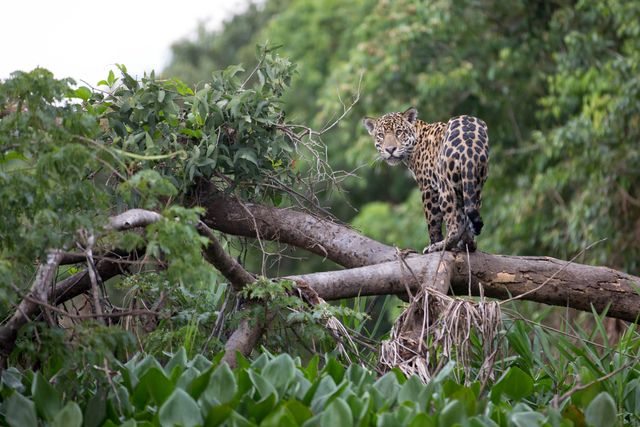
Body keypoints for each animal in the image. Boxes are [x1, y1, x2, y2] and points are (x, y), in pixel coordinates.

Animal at [362, 107, 489, 253]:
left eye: (399, 132)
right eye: (381, 135)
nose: (390, 149)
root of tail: (469, 142)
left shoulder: (428, 187)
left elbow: (432, 222)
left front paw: (433, 242)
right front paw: (464, 242)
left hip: (445, 187)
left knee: (454, 223)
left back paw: (441, 245)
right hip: (475, 184)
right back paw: (468, 243)